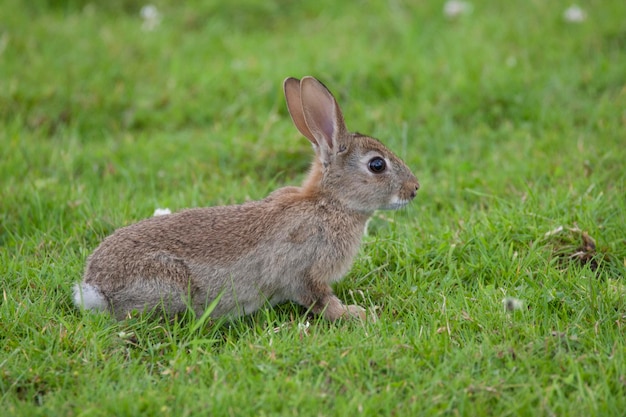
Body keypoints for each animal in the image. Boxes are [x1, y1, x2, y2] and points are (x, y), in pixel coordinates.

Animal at [74, 75, 420, 322]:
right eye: (377, 165)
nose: (415, 188)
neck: (330, 203)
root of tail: (94, 289)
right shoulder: (304, 271)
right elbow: (320, 300)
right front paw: (359, 315)